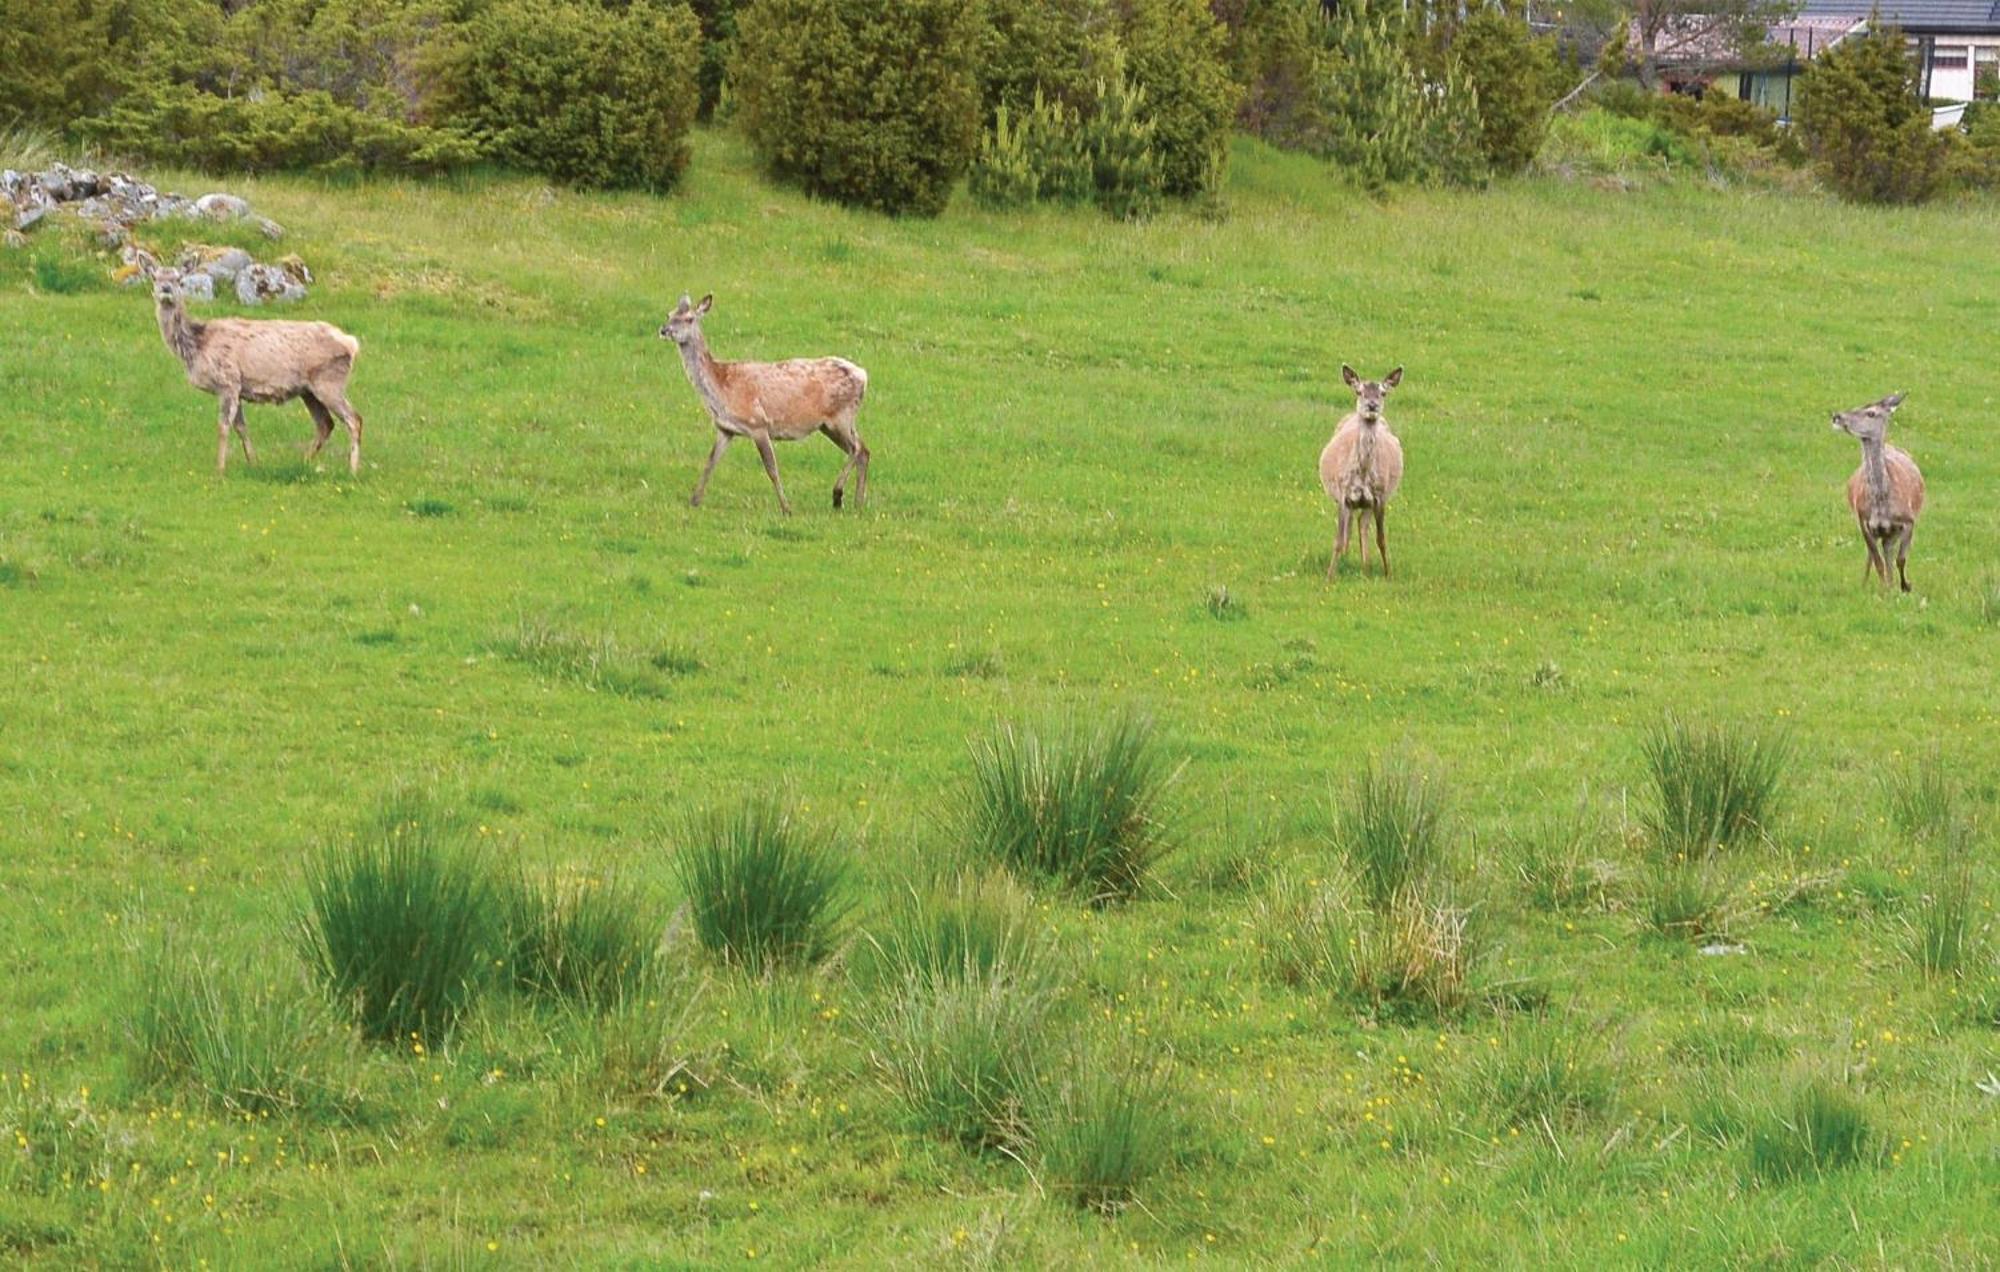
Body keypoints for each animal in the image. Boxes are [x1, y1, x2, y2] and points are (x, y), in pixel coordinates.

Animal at [141, 251, 368, 474]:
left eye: (179, 280)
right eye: (155, 278)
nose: (166, 289)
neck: (198, 345)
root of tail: (352, 344)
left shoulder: (228, 381)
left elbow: (223, 426)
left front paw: (219, 470)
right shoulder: (238, 388)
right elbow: (241, 427)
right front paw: (254, 462)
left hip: (329, 381)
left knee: (354, 419)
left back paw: (352, 470)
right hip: (308, 390)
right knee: (325, 424)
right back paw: (303, 462)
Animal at [660, 296, 872, 516]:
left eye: (689, 319)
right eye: (669, 314)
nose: (664, 330)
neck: (721, 387)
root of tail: (863, 375)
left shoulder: (758, 423)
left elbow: (771, 468)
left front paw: (786, 508)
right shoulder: (725, 428)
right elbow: (710, 462)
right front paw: (694, 500)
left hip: (841, 415)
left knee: (856, 448)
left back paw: (837, 496)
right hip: (830, 425)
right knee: (864, 450)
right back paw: (857, 503)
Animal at [1320, 358, 1416, 576]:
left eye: (1383, 392)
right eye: (1359, 391)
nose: (1372, 406)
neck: (1362, 474)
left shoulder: (1379, 496)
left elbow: (1381, 539)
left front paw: (1388, 574)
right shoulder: (1343, 494)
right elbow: (1338, 539)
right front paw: (1330, 576)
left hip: (1367, 503)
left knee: (1361, 525)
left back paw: (1365, 567)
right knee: (1349, 528)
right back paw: (1347, 559)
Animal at [1832, 392, 1928, 592]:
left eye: (1871, 413)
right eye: (1855, 406)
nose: (1837, 416)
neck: (1882, 503)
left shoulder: (1909, 521)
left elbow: (1901, 559)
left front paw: (1905, 586)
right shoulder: (1864, 521)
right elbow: (1878, 562)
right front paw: (1885, 590)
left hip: (1890, 532)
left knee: (1888, 553)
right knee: (1875, 555)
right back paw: (1868, 583)